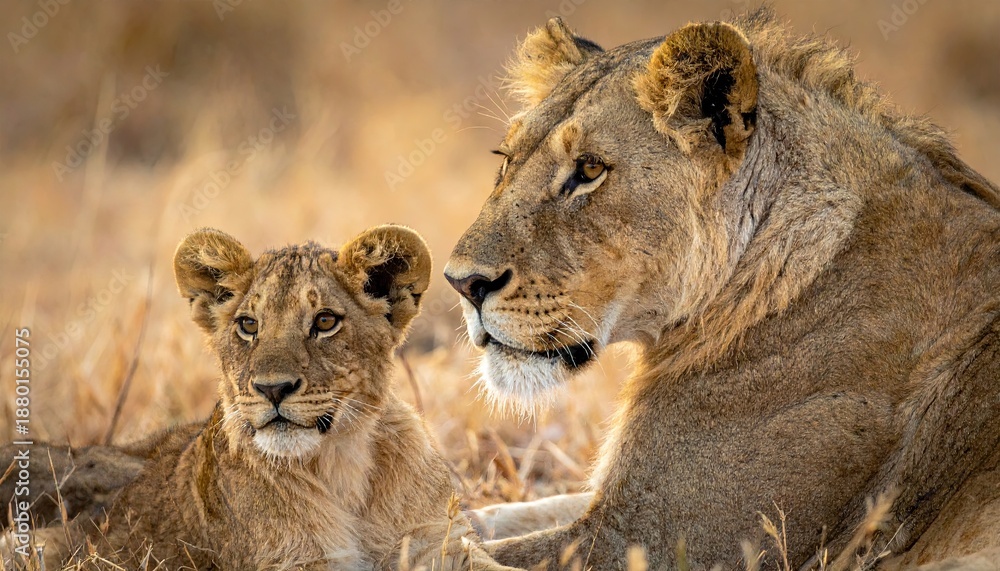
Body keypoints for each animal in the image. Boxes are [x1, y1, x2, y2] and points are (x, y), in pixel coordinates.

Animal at [9, 225, 518, 571]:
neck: (342, 467)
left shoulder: (437, 544)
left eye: (326, 321)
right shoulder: (297, 561)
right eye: (248, 325)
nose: (273, 388)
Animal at [444, 9, 1000, 570]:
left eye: (590, 169)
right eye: (506, 160)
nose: (462, 283)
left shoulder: (654, 539)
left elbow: (457, 552)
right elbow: (486, 518)